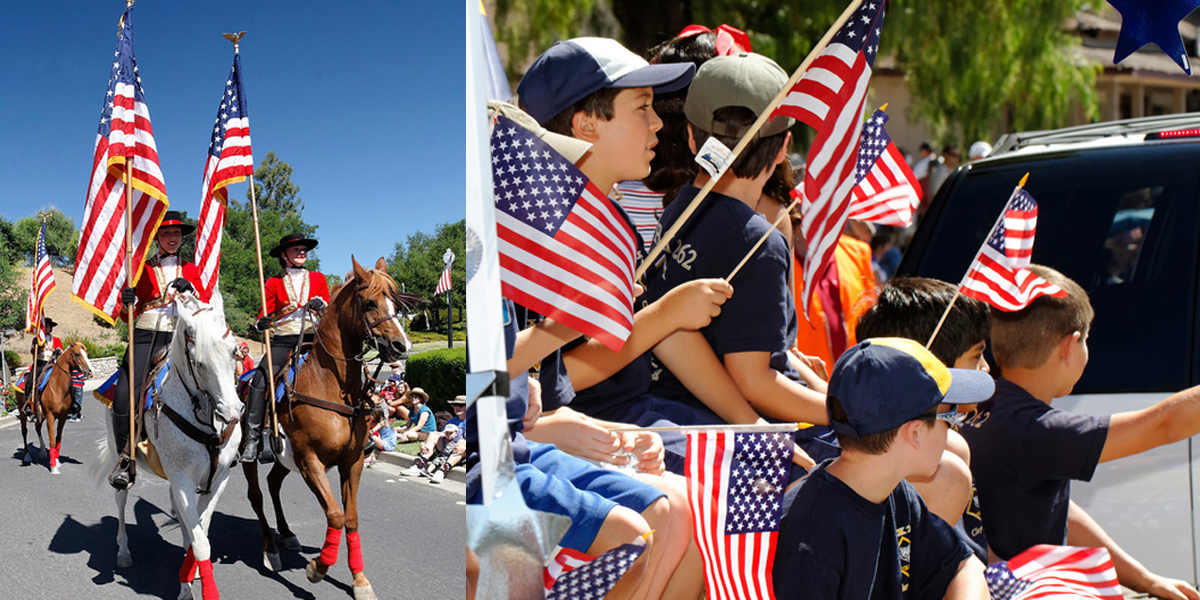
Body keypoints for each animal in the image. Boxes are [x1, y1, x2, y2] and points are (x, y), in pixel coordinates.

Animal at [17, 343, 93, 472]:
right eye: (77, 354)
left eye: (86, 353)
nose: (90, 371)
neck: (57, 386)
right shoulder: (50, 416)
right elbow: (52, 440)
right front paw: (53, 467)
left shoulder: (62, 417)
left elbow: (58, 439)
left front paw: (56, 461)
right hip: (22, 413)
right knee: (24, 431)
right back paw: (27, 456)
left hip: (39, 415)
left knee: (37, 427)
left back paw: (43, 450)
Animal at [99, 290, 243, 600]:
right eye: (199, 362)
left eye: (233, 352)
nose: (233, 413)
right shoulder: (182, 480)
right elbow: (201, 542)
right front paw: (192, 588)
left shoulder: (219, 479)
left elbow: (200, 531)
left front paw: (189, 576)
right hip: (122, 460)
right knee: (120, 501)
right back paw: (123, 552)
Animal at [243, 256, 412, 600]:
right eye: (370, 302)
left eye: (396, 301)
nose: (401, 346)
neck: (330, 386)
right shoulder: (311, 461)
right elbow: (334, 514)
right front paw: (318, 567)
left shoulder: (352, 462)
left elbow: (350, 518)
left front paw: (359, 579)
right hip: (250, 456)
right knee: (256, 495)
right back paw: (271, 550)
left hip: (285, 459)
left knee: (273, 483)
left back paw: (287, 534)